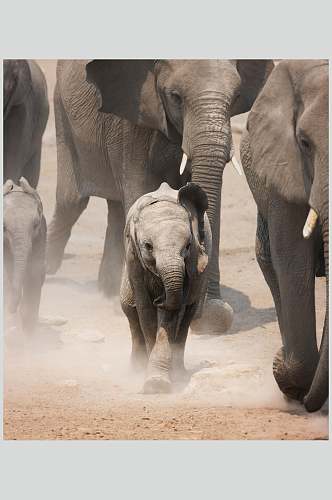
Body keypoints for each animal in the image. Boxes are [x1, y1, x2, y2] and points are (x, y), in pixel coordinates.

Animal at [48, 59, 274, 332]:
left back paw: (107, 292)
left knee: (114, 209)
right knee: (72, 201)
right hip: (61, 111)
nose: (207, 317)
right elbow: (140, 189)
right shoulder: (131, 118)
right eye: (175, 97)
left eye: (236, 97)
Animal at [120, 182, 211, 392]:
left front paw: (157, 384)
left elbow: (171, 315)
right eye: (148, 246)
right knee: (130, 311)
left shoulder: (191, 265)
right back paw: (136, 370)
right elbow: (145, 311)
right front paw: (151, 381)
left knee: (186, 317)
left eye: (188, 246)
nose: (160, 298)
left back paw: (179, 374)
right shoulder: (133, 256)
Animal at [240, 59, 328, 410]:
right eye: (304, 143)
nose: (274, 362)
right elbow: (292, 262)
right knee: (272, 266)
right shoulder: (282, 165)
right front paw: (285, 374)